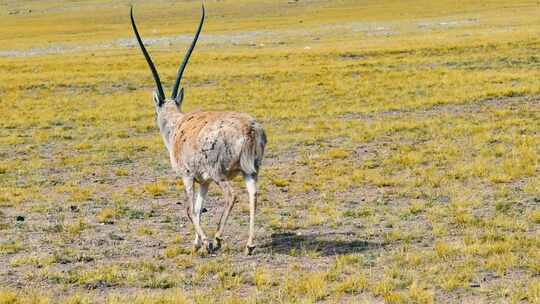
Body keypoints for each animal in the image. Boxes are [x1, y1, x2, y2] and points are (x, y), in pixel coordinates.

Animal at [131, 4, 266, 254]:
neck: (176, 125)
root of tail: (249, 130)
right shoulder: (203, 181)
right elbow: (198, 207)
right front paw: (196, 243)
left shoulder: (187, 176)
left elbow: (189, 209)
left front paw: (204, 241)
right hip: (250, 171)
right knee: (253, 194)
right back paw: (249, 244)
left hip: (219, 173)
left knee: (232, 196)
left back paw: (218, 238)